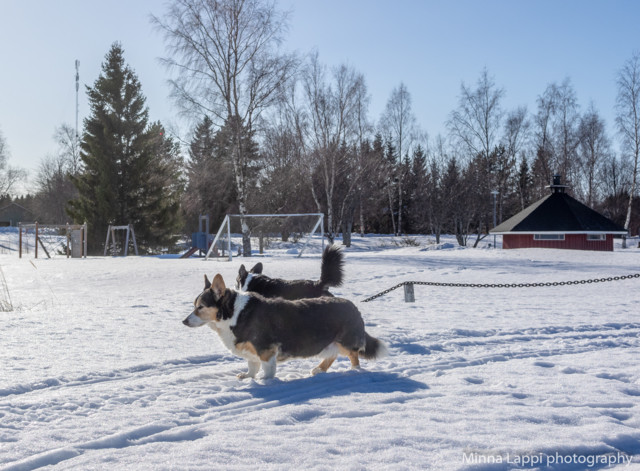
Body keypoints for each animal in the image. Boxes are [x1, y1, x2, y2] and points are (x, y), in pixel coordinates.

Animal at [182, 272, 388, 380]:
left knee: (353, 356)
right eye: (193, 305)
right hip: (330, 343)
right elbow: (252, 366)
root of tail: (353, 306)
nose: (183, 321)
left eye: (200, 307)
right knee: (333, 355)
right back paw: (318, 370)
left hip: (345, 341)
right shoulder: (252, 352)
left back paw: (354, 372)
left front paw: (265, 381)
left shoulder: (266, 350)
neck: (233, 313)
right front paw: (248, 377)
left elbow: (267, 370)